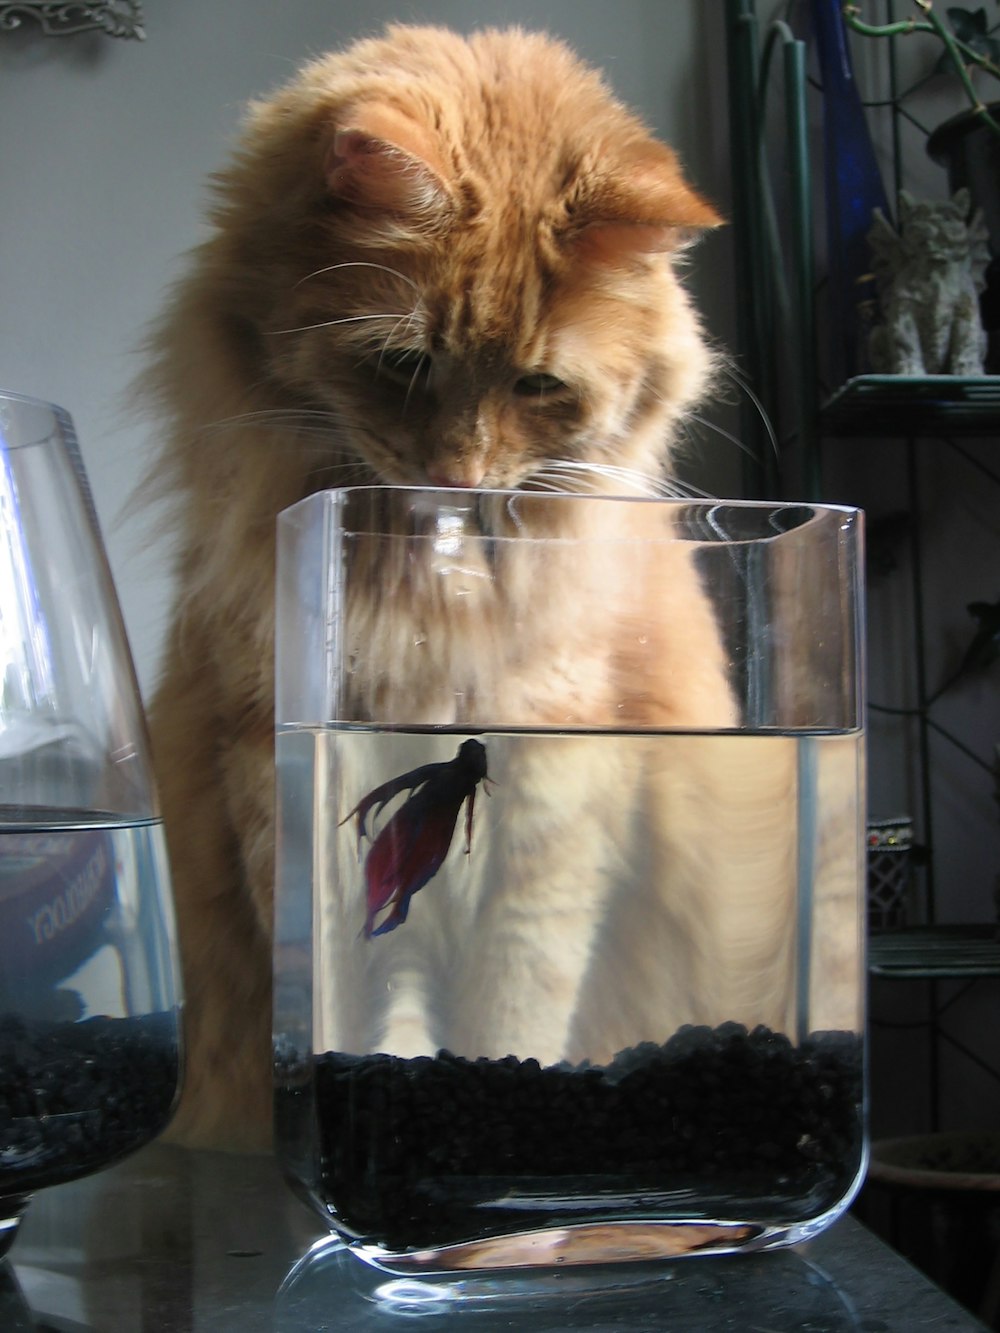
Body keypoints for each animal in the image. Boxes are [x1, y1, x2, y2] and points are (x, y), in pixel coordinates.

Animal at [141, 20, 768, 1151]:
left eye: (538, 385)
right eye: (403, 362)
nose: (460, 473)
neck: (427, 589)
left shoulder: (556, 800)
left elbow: (516, 1003)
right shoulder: (268, 763)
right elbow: (352, 995)